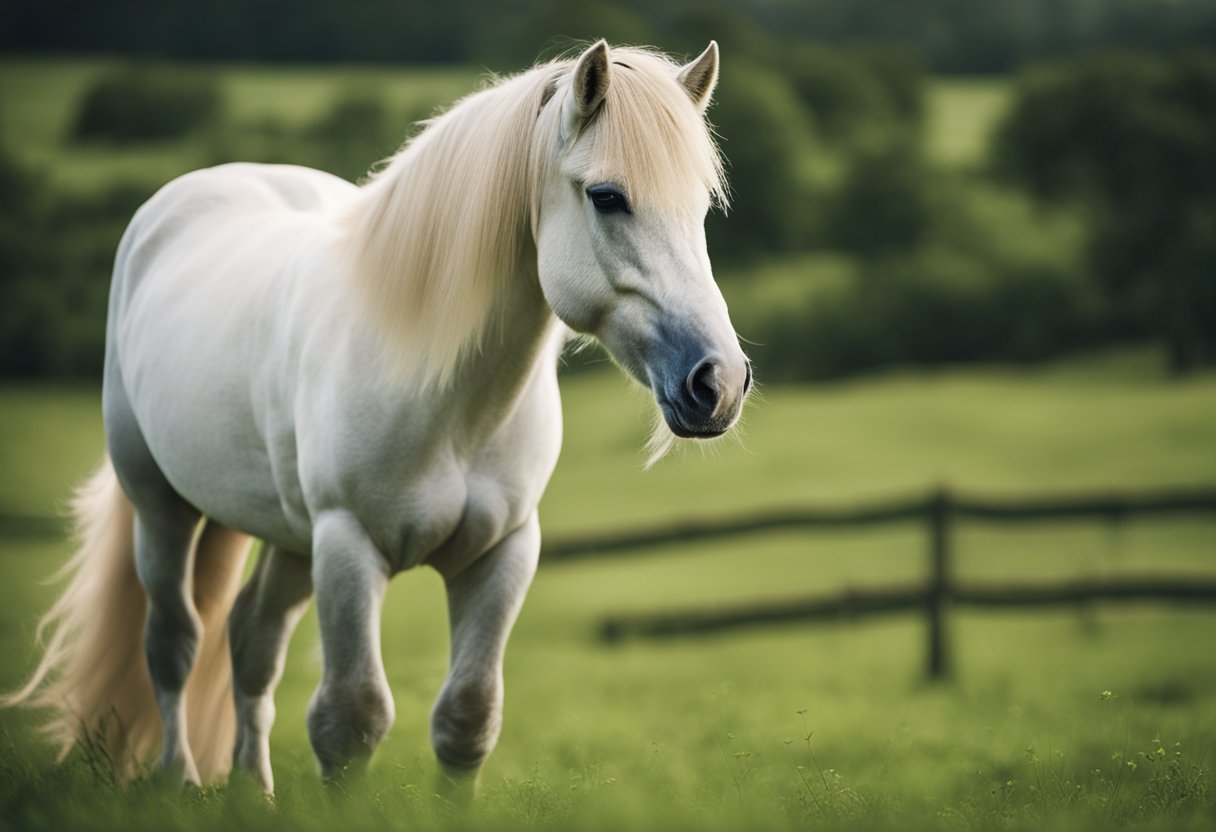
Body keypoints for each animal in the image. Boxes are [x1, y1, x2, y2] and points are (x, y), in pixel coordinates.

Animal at [7, 42, 749, 797]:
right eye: (607, 197)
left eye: (701, 207)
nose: (718, 382)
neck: (450, 407)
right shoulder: (348, 545)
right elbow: (350, 718)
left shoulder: (502, 551)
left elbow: (467, 718)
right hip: (162, 507)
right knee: (173, 642)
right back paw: (178, 781)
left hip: (289, 536)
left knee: (250, 640)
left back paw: (254, 792)